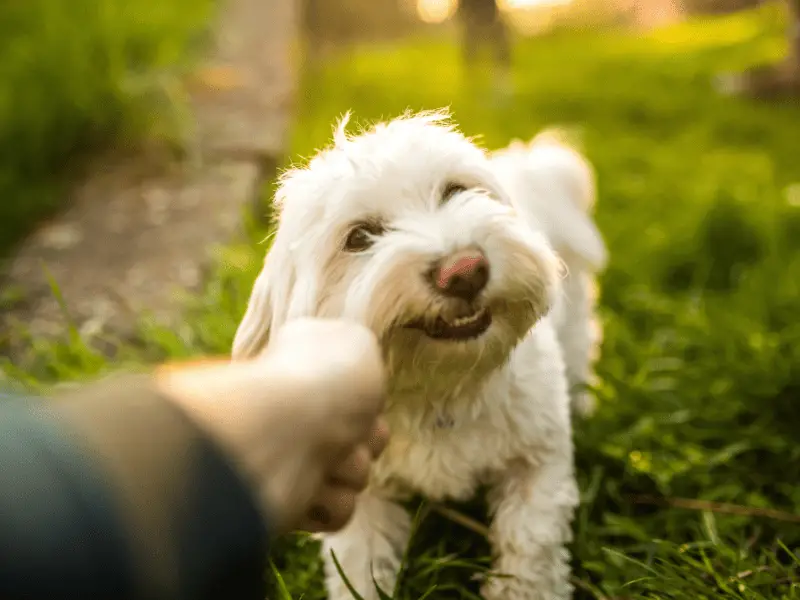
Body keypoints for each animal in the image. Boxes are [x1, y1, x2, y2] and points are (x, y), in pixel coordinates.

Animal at [231, 110, 592, 596]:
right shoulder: (359, 493)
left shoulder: (538, 462)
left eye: (455, 192)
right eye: (359, 237)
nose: (464, 270)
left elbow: (530, 548)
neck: (441, 387)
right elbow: (358, 566)